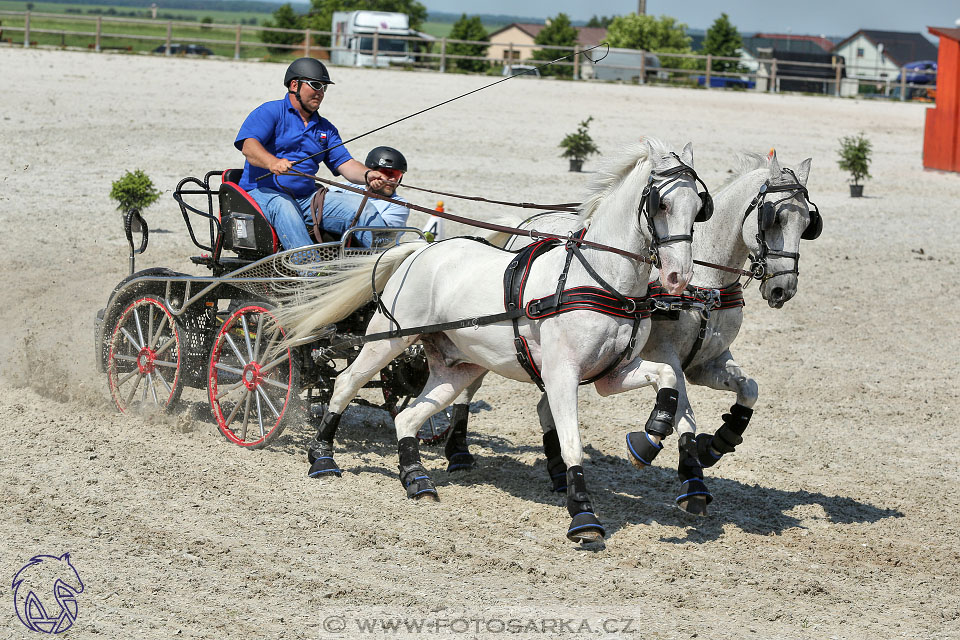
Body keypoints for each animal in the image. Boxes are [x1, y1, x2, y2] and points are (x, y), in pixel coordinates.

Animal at [274, 138, 708, 544]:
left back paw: (416, 478)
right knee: (347, 384)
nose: (678, 278)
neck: (601, 279)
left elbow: (667, 376)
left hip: (457, 369)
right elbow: (571, 443)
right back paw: (322, 458)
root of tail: (422, 248)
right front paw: (583, 515)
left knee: (408, 415)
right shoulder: (561, 376)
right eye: (662, 204)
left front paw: (650, 436)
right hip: (389, 339)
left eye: (699, 207)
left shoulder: (611, 374)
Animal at [462, 150, 812, 516]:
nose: (783, 289)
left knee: (547, 407)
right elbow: (684, 416)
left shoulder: (707, 362)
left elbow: (749, 389)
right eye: (774, 218)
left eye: (807, 224)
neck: (705, 283)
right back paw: (459, 454)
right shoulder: (666, 356)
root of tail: (525, 224)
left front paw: (717, 443)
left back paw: (558, 474)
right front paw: (689, 477)